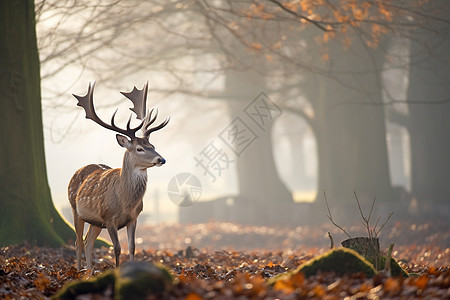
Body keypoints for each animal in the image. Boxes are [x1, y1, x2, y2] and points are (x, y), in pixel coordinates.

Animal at [68, 81, 169, 270]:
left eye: (152, 145)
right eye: (140, 148)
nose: (161, 159)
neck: (124, 202)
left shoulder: (134, 218)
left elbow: (132, 247)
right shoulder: (109, 217)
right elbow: (116, 249)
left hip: (95, 221)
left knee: (88, 242)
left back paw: (89, 271)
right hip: (74, 209)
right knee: (78, 242)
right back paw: (78, 271)